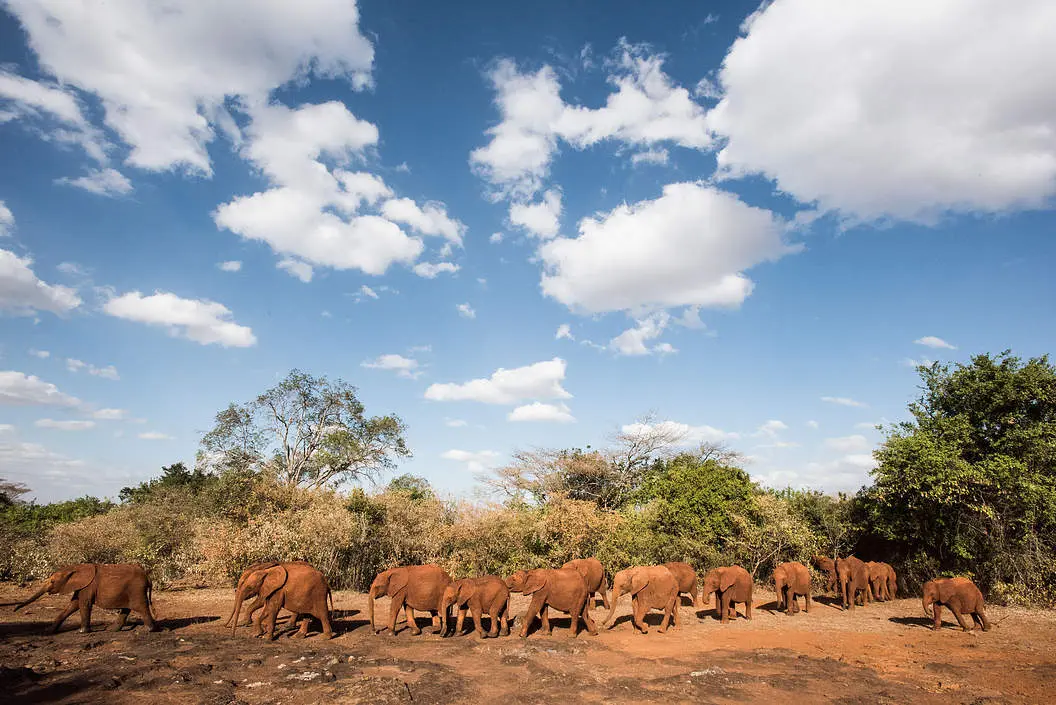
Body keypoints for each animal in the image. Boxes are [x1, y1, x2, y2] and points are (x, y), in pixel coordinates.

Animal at [14, 563, 157, 634]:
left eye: (52, 581)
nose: (15, 609)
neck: (74, 568)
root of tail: (148, 577)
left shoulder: (87, 586)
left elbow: (83, 605)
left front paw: (81, 632)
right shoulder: (82, 587)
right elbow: (72, 606)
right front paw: (48, 631)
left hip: (136, 589)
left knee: (141, 606)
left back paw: (148, 630)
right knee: (126, 609)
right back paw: (112, 630)